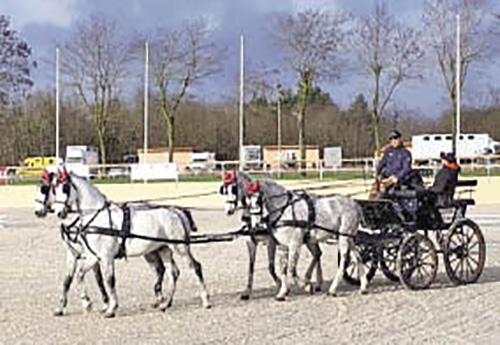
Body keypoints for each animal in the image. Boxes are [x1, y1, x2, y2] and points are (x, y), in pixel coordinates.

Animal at [52, 170, 211, 318]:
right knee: (173, 272)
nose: (59, 213)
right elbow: (78, 276)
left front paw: (110, 308)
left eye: (65, 188)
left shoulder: (104, 257)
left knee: (195, 267)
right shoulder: (91, 256)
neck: (98, 217)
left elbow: (109, 280)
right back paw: (165, 304)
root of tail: (177, 212)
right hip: (164, 249)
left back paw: (206, 301)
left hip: (180, 248)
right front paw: (86, 303)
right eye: (54, 189)